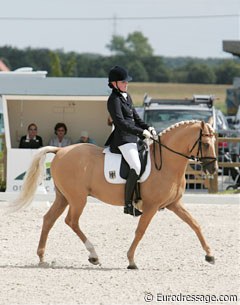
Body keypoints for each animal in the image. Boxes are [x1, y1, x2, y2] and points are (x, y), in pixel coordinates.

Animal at [8, 120, 218, 268]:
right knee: (71, 221)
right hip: (77, 199)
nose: (213, 169)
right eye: (206, 143)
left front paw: (210, 255)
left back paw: (42, 257)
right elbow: (140, 231)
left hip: (63, 197)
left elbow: (195, 224)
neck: (166, 163)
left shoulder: (174, 204)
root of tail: (60, 150)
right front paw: (131, 260)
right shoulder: (151, 206)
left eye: (215, 142)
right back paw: (93, 255)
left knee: (49, 219)